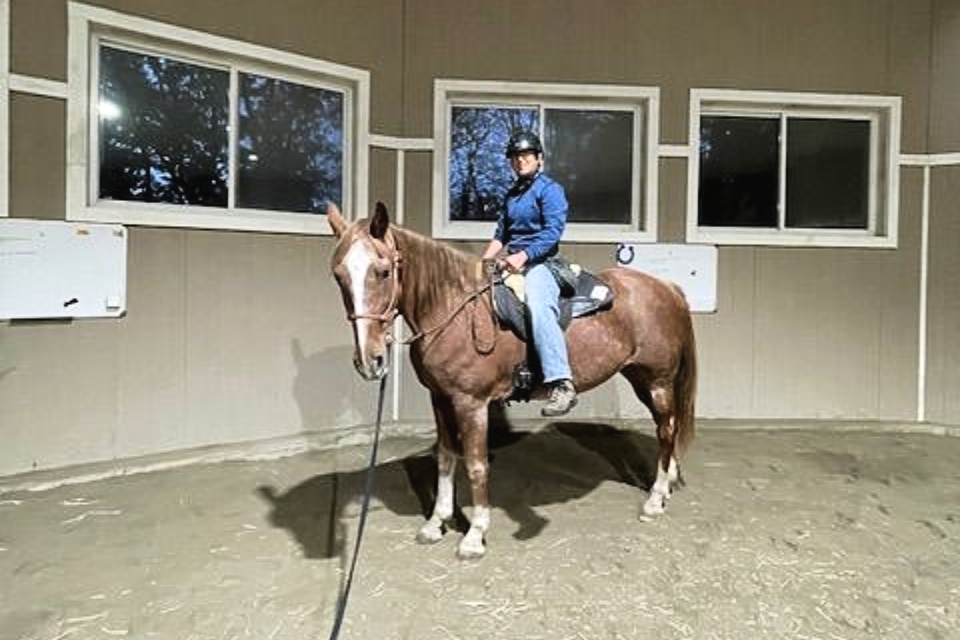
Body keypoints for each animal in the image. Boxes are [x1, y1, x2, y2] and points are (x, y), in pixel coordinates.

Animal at [327, 201, 697, 559]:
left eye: (383, 271)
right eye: (338, 276)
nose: (370, 361)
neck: (454, 309)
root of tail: (666, 287)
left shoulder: (471, 403)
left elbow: (476, 464)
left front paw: (474, 536)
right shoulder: (441, 399)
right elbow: (445, 457)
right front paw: (436, 523)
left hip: (658, 380)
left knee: (666, 429)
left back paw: (654, 500)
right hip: (640, 378)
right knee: (669, 427)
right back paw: (668, 483)